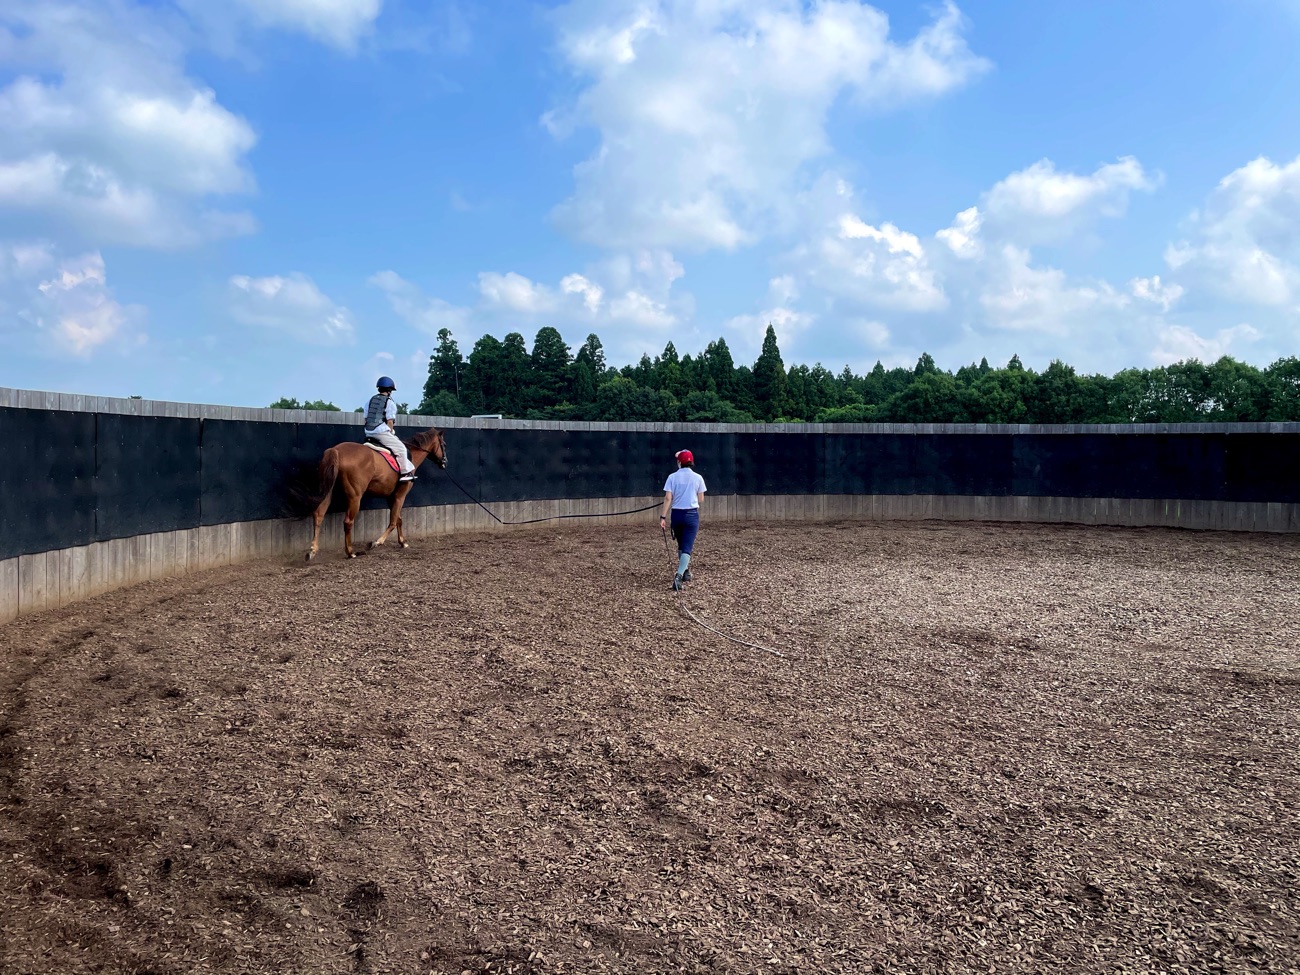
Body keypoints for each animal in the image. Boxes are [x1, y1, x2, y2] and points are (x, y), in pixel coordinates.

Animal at [304, 428, 447, 561]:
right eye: (443, 444)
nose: (444, 462)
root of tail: (336, 450)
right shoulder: (400, 495)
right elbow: (393, 521)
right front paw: (376, 542)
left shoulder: (392, 497)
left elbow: (398, 519)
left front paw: (403, 542)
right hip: (355, 497)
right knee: (348, 522)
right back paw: (350, 552)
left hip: (328, 492)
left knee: (319, 515)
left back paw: (312, 551)